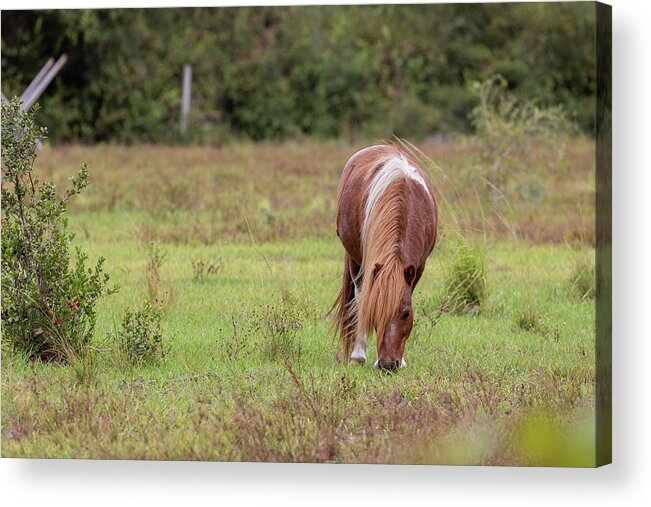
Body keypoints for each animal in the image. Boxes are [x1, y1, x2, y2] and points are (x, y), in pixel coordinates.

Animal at [332, 145, 438, 372]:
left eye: (406, 313)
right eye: (375, 312)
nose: (388, 364)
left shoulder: (418, 267)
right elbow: (362, 301)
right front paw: (358, 356)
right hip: (354, 259)